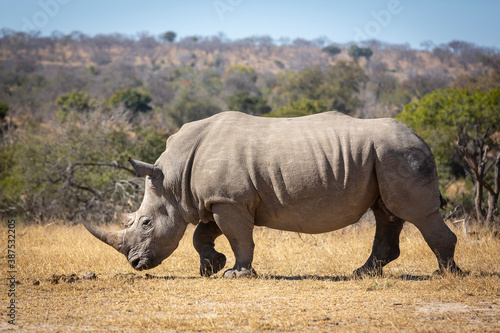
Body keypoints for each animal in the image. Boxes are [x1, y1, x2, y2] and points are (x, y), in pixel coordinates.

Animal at [82, 110, 460, 276]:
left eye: (145, 223)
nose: (135, 264)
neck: (173, 178)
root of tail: (422, 138)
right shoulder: (220, 199)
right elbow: (202, 234)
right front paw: (211, 267)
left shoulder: (228, 200)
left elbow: (238, 237)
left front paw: (236, 274)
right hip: (384, 157)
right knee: (387, 213)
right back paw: (362, 273)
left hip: (400, 154)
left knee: (417, 213)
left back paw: (445, 274)